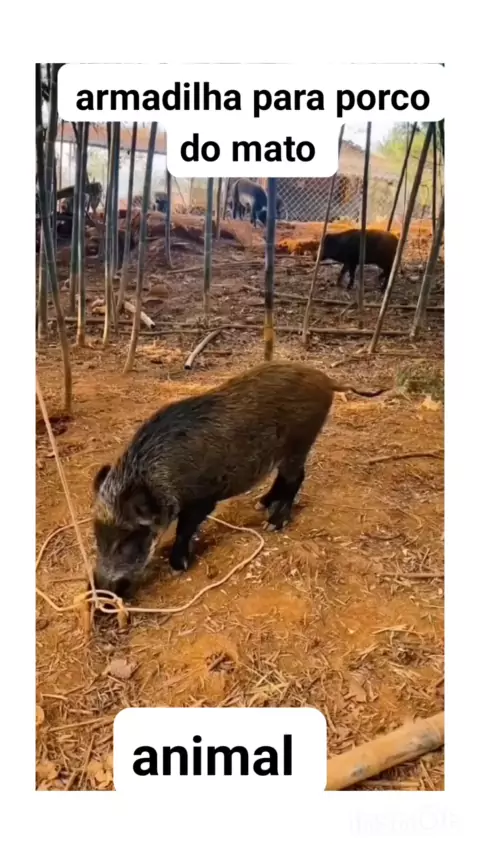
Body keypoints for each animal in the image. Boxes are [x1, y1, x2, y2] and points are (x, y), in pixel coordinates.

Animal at [92, 362, 386, 598]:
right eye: (97, 536)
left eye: (128, 538)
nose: (100, 591)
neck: (163, 479)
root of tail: (326, 379)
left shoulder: (202, 498)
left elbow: (185, 529)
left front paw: (177, 567)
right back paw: (260, 504)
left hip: (300, 441)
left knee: (296, 478)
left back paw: (273, 524)